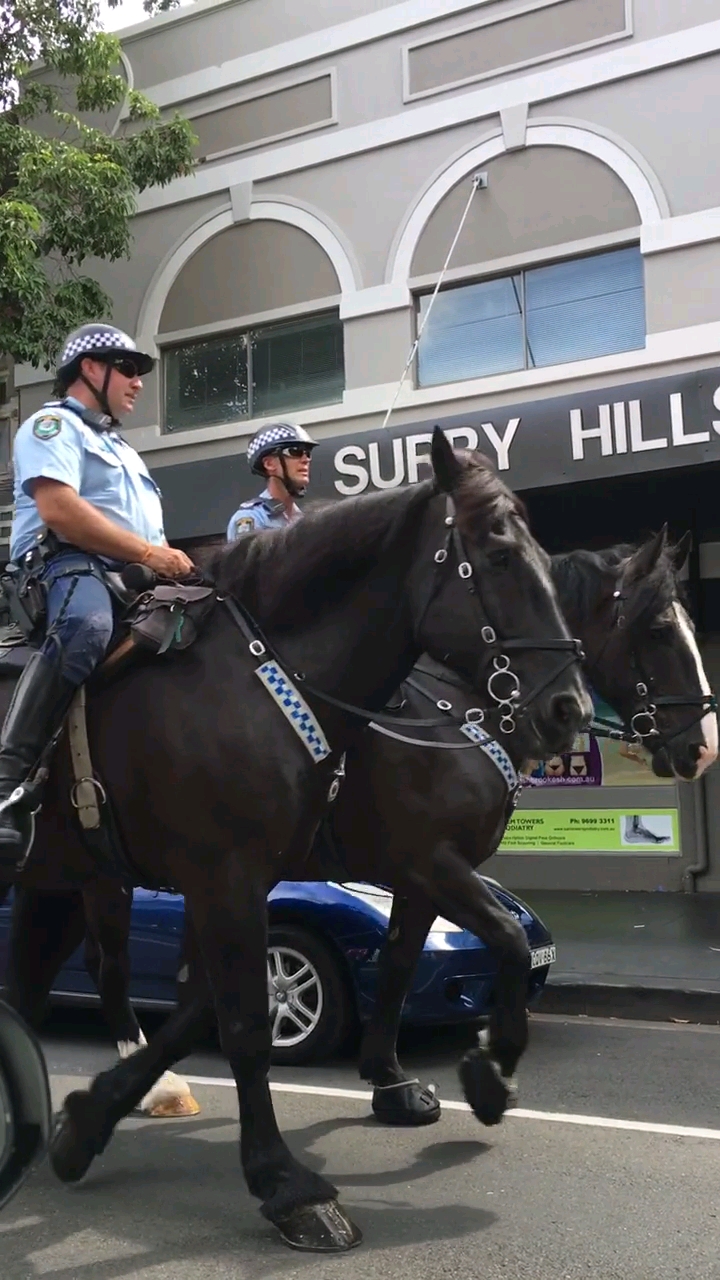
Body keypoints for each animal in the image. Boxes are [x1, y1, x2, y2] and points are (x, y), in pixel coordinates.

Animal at [0, 435, 589, 1254]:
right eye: (499, 556)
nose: (570, 710)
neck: (262, 674)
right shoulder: (242, 876)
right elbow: (248, 1023)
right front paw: (286, 1184)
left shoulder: (249, 882)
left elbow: (207, 1009)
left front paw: (86, 1122)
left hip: (63, 874)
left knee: (42, 985)